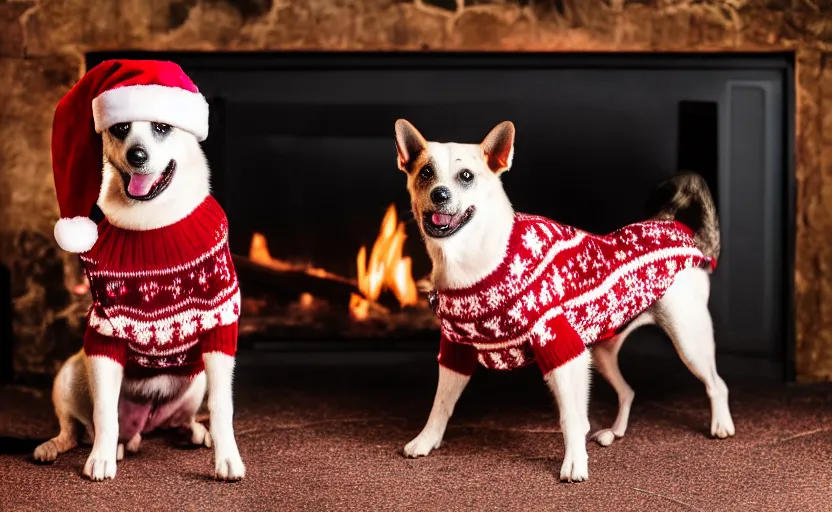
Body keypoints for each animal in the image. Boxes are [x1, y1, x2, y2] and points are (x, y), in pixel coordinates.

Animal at [34, 62, 245, 482]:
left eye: (162, 127)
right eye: (120, 128)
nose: (137, 155)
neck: (152, 222)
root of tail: (144, 425)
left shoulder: (220, 324)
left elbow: (222, 407)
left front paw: (227, 456)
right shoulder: (102, 333)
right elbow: (103, 411)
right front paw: (100, 458)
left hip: (195, 378)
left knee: (181, 421)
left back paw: (194, 434)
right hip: (68, 374)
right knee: (78, 427)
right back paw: (69, 446)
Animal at [394, 118, 736, 482]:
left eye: (466, 176)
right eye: (425, 172)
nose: (439, 194)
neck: (471, 259)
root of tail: (678, 230)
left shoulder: (563, 352)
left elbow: (571, 417)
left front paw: (574, 462)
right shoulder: (456, 352)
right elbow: (440, 405)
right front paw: (426, 440)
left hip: (689, 341)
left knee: (717, 385)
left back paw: (721, 425)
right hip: (602, 353)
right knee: (628, 391)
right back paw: (614, 432)